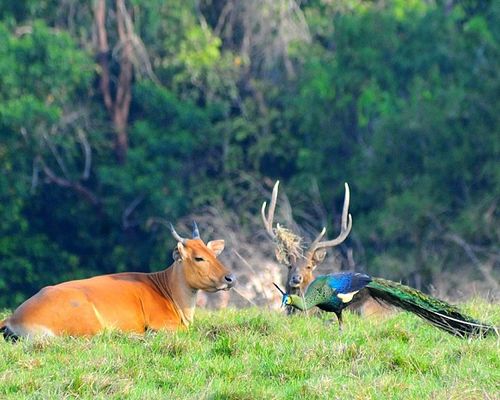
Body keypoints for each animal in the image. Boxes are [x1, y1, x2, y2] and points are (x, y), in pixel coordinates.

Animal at [0, 222, 235, 340]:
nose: (230, 278)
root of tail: (13, 318)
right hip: (90, 325)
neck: (168, 291)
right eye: (198, 257)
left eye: (214, 254)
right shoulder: (163, 325)